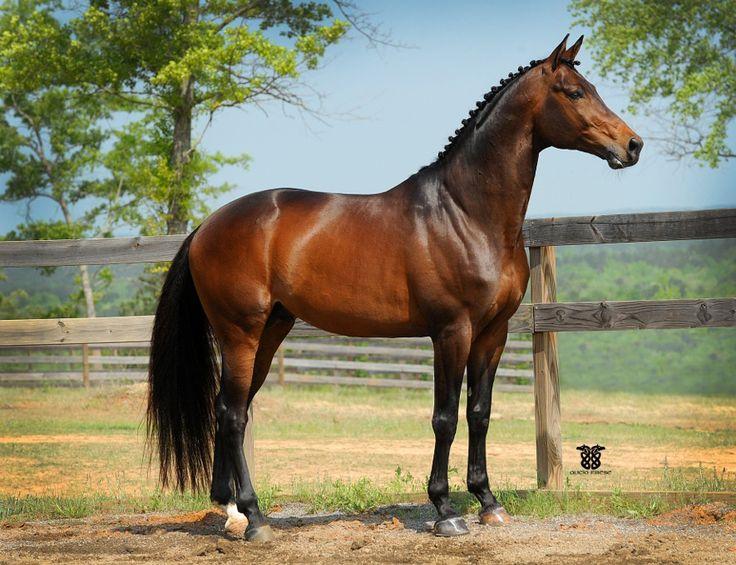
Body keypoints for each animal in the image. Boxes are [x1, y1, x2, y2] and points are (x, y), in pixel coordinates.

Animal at [147, 33, 640, 540]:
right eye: (575, 92)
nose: (633, 144)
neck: (466, 212)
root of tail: (207, 226)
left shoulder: (493, 333)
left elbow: (478, 414)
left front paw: (488, 501)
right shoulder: (452, 331)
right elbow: (445, 418)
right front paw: (445, 510)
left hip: (271, 330)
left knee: (231, 409)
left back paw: (231, 510)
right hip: (240, 333)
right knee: (232, 414)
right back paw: (255, 518)